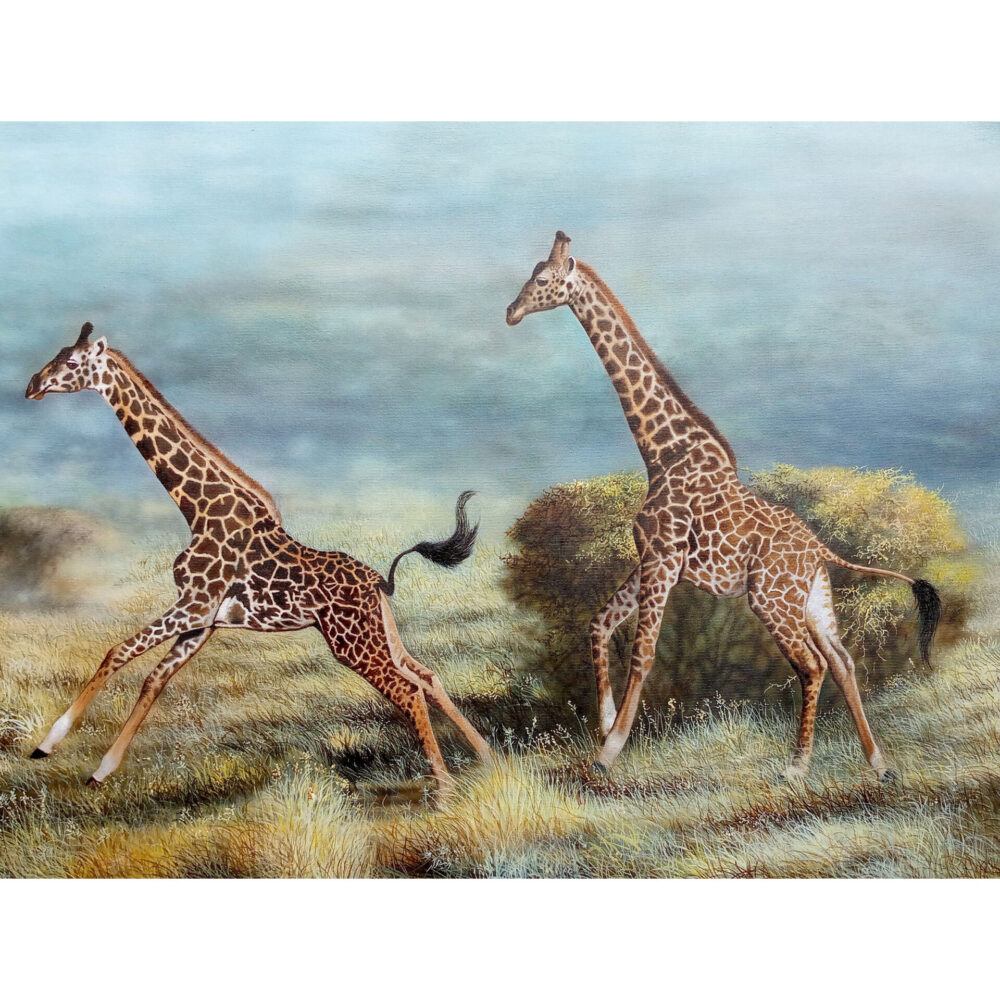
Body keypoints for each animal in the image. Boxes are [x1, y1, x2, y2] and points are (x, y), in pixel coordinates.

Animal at [24, 323, 493, 790]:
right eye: (58, 352)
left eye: (72, 361)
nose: (32, 386)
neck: (199, 510)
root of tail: (380, 581)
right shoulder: (204, 620)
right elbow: (154, 680)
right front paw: (101, 769)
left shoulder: (192, 605)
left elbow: (117, 654)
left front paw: (48, 744)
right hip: (379, 633)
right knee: (426, 676)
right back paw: (487, 758)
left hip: (351, 643)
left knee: (408, 690)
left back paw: (445, 788)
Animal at [506, 232, 942, 781]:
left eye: (542, 279)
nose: (511, 312)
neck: (662, 452)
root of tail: (821, 550)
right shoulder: (653, 558)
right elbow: (599, 624)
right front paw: (604, 725)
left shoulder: (664, 559)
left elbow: (643, 653)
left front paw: (609, 751)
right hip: (813, 599)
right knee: (843, 661)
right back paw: (879, 762)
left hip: (769, 599)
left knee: (813, 664)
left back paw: (797, 767)